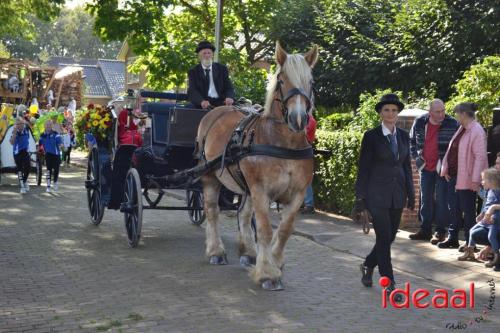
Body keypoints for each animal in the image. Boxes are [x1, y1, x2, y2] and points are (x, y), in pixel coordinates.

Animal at [197, 41, 318, 290]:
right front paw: (267, 273)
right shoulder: (262, 191)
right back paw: (216, 251)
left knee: (243, 214)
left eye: (310, 81)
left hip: (247, 186)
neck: (284, 144)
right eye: (281, 79)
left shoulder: (297, 194)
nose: (299, 119)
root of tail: (216, 110)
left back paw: (248, 252)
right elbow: (264, 230)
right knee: (212, 211)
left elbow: (284, 230)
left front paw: (275, 261)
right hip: (211, 177)